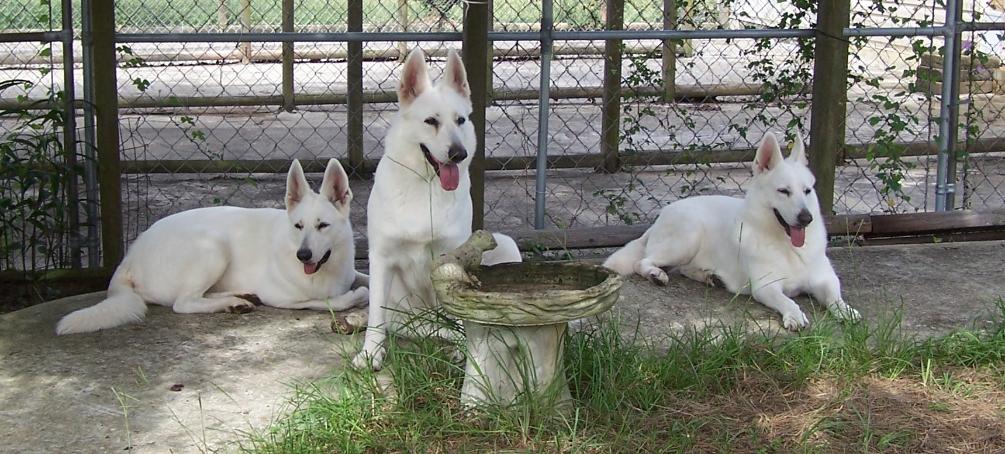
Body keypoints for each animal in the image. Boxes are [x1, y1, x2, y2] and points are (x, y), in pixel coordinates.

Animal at [55, 159, 369, 335]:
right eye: (298, 226)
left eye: (323, 225)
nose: (302, 255)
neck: (330, 265)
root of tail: (129, 259)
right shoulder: (283, 298)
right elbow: (332, 300)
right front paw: (354, 296)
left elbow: (364, 277)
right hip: (213, 247)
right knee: (184, 303)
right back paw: (232, 303)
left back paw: (239, 297)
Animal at [353, 48, 522, 370]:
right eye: (431, 121)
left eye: (461, 120)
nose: (459, 154)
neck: (427, 187)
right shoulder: (381, 258)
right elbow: (376, 317)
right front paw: (371, 353)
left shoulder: (453, 257)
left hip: (506, 243)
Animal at [603, 131, 860, 330]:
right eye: (783, 191)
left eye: (807, 191)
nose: (806, 218)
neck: (786, 246)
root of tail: (660, 216)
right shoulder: (766, 287)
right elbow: (787, 300)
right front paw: (795, 315)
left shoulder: (825, 280)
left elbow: (835, 297)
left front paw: (846, 311)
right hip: (688, 236)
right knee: (643, 262)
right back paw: (656, 274)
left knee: (684, 269)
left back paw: (708, 276)